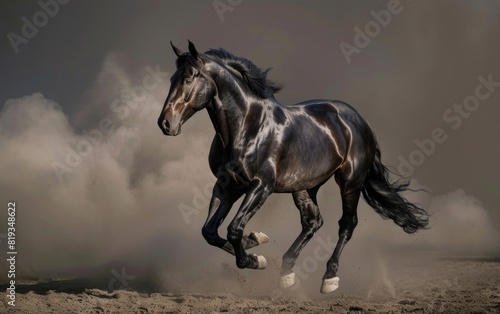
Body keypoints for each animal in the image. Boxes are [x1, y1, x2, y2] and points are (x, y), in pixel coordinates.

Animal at [158, 40, 428, 294]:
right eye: (172, 78)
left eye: (188, 78)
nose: (165, 123)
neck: (247, 126)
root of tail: (360, 121)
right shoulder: (228, 185)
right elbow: (210, 231)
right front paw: (255, 242)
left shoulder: (261, 186)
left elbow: (234, 229)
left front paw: (255, 258)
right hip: (305, 186)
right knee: (313, 222)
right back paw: (287, 272)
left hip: (350, 182)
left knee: (346, 224)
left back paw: (329, 278)